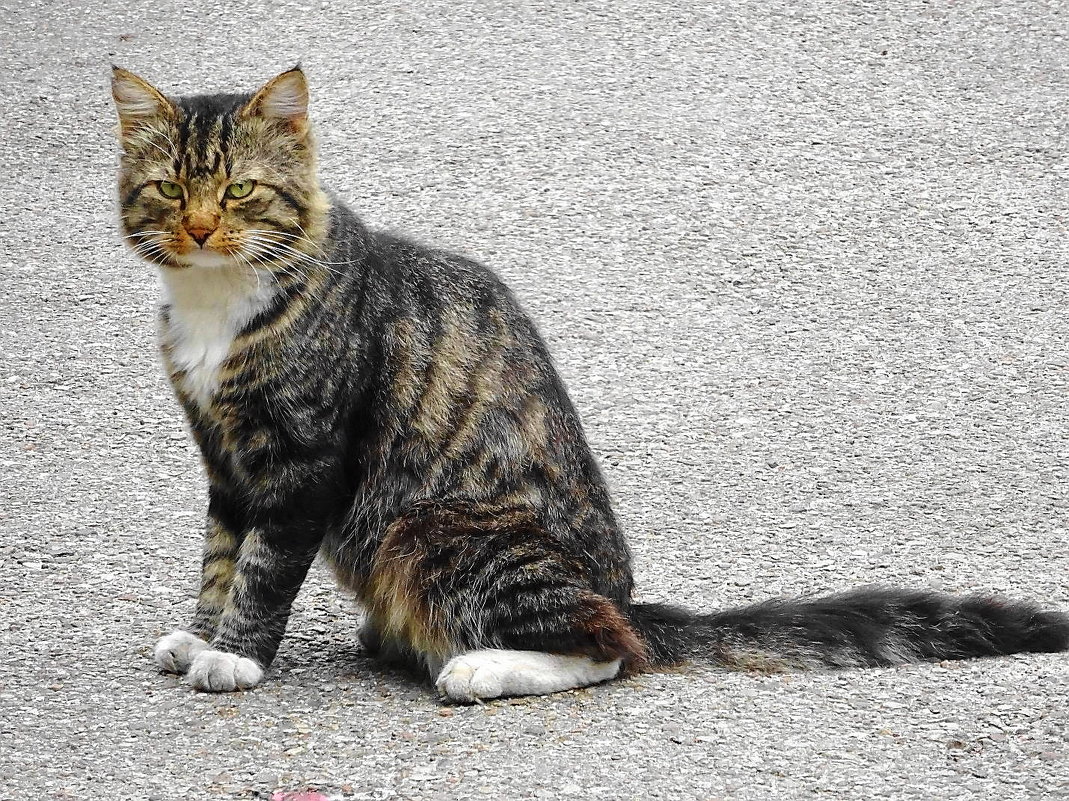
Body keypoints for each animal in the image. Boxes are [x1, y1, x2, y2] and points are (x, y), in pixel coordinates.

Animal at [110, 67, 1069, 701]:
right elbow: (220, 555)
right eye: (170, 189)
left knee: (608, 651)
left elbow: (264, 566)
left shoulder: (302, 458)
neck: (216, 302)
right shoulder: (226, 459)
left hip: (434, 527)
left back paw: (482, 666)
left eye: (240, 190)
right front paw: (201, 632)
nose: (202, 228)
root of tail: (625, 595)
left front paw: (236, 654)